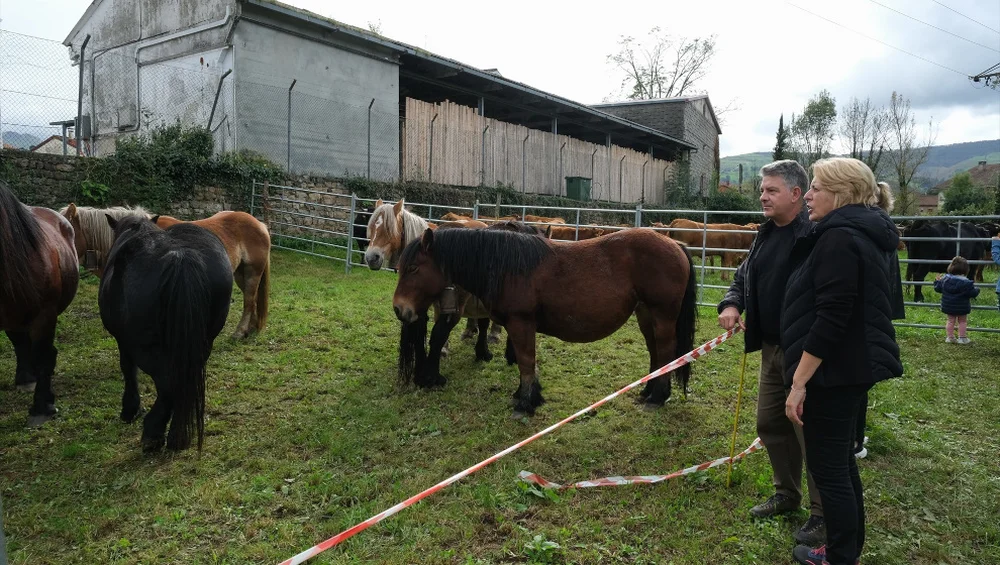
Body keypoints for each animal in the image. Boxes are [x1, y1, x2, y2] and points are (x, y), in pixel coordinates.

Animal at [64, 204, 272, 338]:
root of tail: (259, 224)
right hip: (240, 274)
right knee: (252, 300)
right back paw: (251, 329)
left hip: (252, 272)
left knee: (249, 301)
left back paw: (240, 332)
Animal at [101, 214, 234, 452]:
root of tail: (179, 257)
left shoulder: (124, 342)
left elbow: (128, 369)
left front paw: (130, 409)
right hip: (202, 342)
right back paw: (176, 435)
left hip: (146, 347)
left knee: (167, 384)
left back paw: (153, 433)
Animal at [390, 227, 696, 416]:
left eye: (414, 268)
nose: (400, 309)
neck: (506, 266)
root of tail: (676, 245)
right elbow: (524, 362)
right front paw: (523, 395)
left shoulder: (521, 323)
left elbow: (526, 361)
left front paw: (526, 402)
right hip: (646, 315)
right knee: (656, 353)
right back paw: (648, 392)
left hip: (662, 315)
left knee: (666, 351)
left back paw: (657, 397)